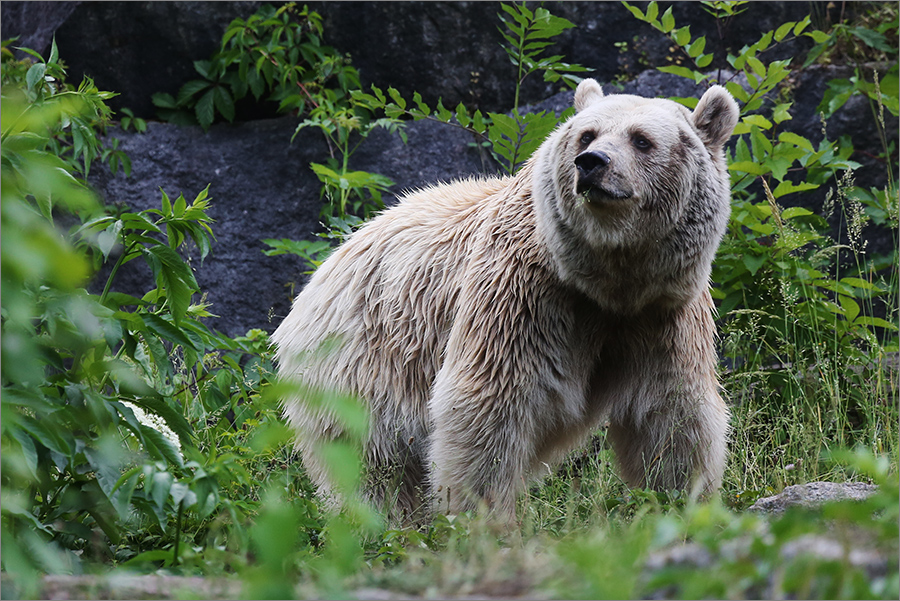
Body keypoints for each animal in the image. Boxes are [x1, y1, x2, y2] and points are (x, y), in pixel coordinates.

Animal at [272, 78, 740, 520]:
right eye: (587, 134)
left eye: (642, 139)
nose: (592, 163)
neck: (606, 281)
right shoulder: (523, 294)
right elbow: (489, 405)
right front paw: (482, 517)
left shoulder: (661, 315)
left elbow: (670, 414)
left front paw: (683, 501)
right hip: (360, 366)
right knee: (371, 466)